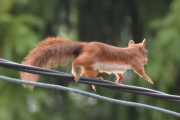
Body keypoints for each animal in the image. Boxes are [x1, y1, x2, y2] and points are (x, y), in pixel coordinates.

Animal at [20, 37, 153, 90]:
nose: (146, 61)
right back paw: (75, 73)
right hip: (90, 58)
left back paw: (95, 80)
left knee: (85, 73)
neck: (134, 49)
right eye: (146, 52)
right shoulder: (135, 59)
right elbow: (139, 70)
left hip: (91, 68)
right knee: (76, 63)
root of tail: (84, 46)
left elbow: (118, 72)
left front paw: (119, 79)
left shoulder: (118, 68)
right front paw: (147, 77)